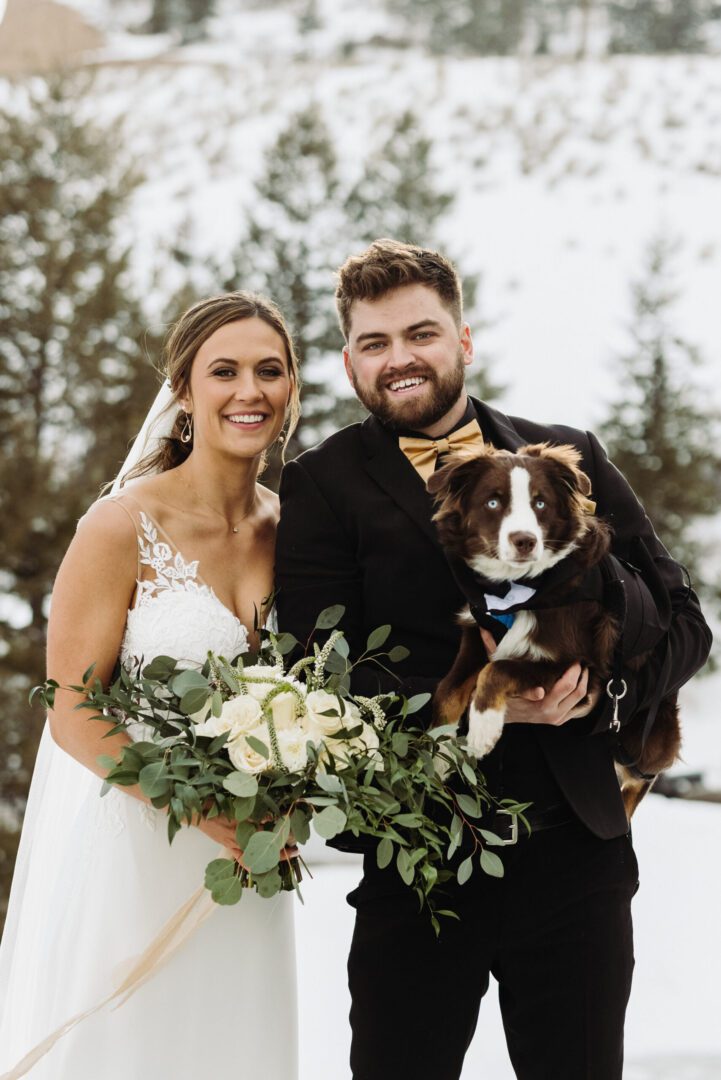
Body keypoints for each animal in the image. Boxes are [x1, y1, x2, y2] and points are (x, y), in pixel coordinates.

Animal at [427, 440, 682, 816]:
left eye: (540, 503)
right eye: (493, 502)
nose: (525, 541)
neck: (519, 589)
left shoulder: (577, 667)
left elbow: (498, 670)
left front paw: (483, 729)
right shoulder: (476, 633)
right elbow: (446, 690)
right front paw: (437, 751)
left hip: (644, 731)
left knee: (642, 774)